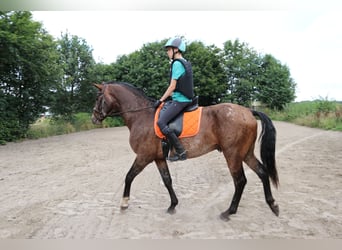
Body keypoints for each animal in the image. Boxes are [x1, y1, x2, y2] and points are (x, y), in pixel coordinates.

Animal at [92, 81, 280, 221]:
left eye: (98, 98)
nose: (94, 118)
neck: (142, 116)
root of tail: (248, 110)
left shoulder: (143, 157)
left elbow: (129, 176)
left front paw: (124, 203)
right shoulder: (158, 158)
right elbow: (167, 180)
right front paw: (172, 205)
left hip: (232, 155)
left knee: (240, 181)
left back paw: (229, 212)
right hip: (246, 154)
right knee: (262, 172)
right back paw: (273, 205)